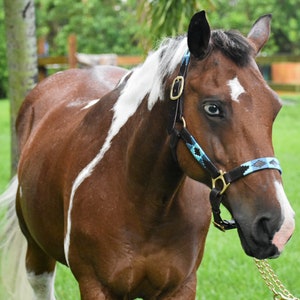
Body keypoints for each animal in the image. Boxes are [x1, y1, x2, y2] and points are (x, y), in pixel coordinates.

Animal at [0, 9, 296, 300]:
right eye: (212, 107)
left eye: (275, 107)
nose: (278, 225)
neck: (144, 203)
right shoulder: (94, 285)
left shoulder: (181, 286)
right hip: (37, 254)